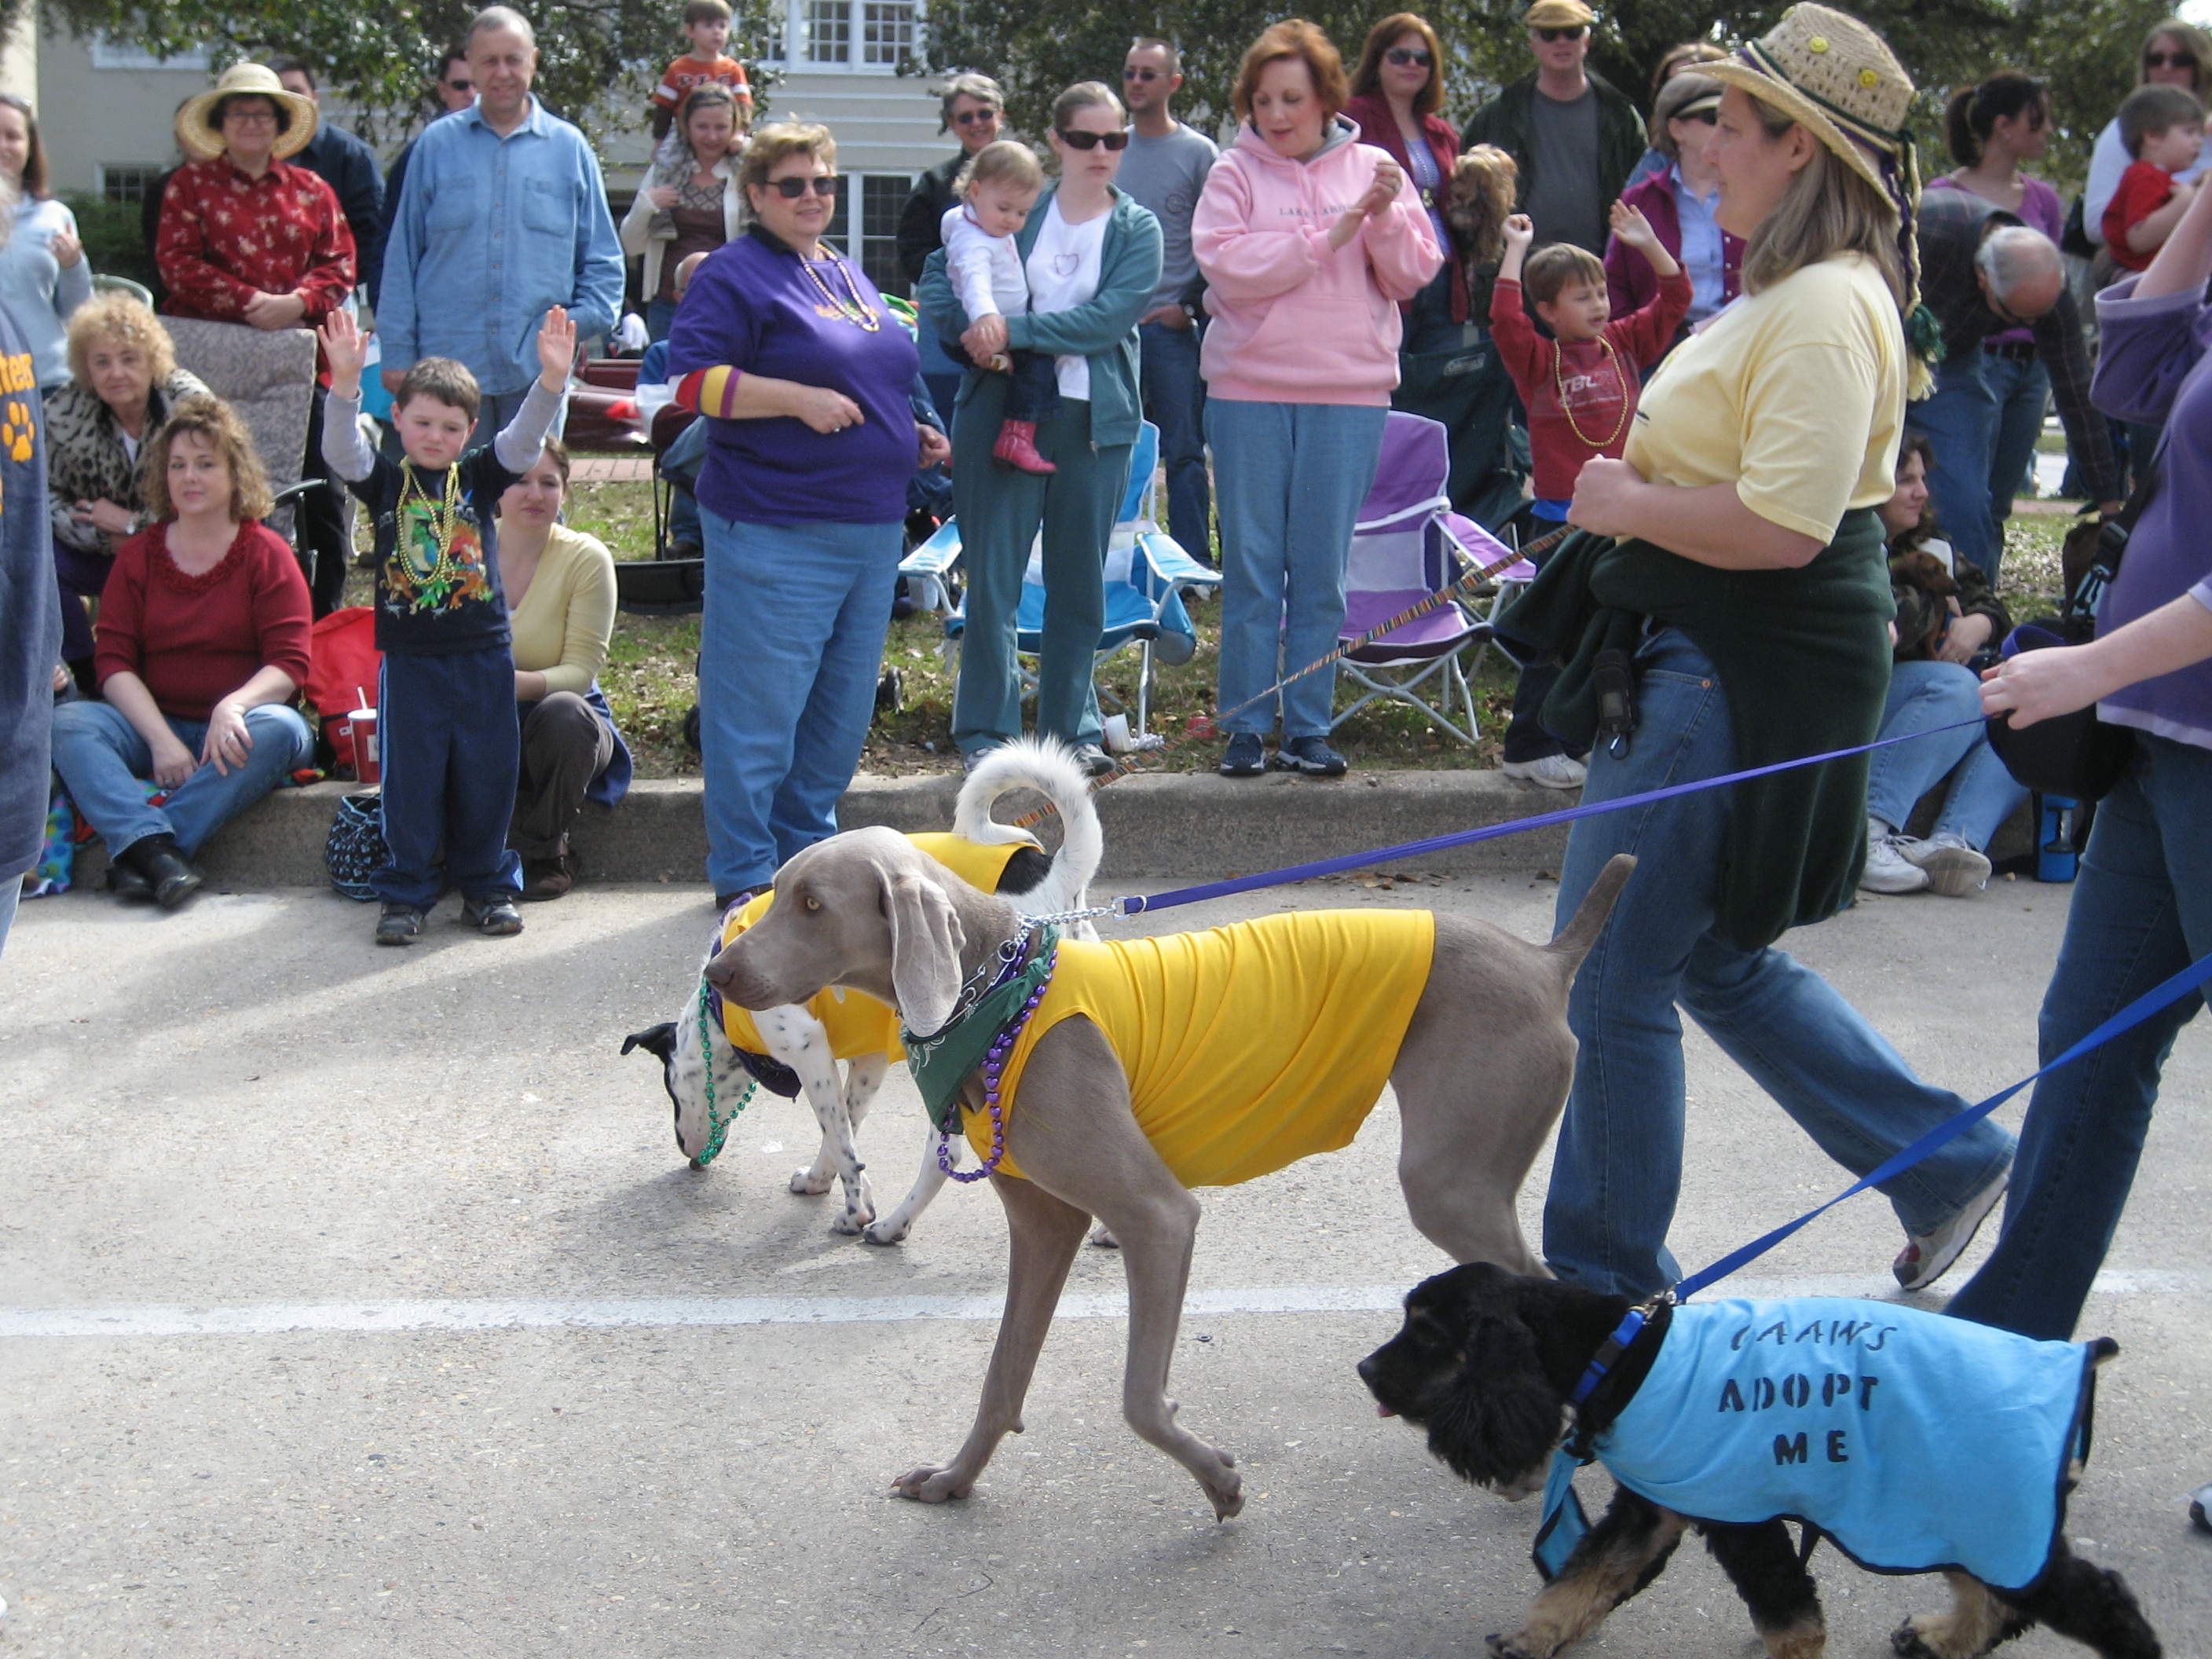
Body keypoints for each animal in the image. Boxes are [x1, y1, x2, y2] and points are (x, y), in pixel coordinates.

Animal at [623, 738, 1102, 1244]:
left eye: (670, 1089)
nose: (687, 1154)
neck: (719, 1011)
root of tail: (1055, 871)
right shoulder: (869, 1060)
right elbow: (843, 1129)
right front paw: (820, 1179)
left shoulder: (807, 1047)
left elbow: (839, 1137)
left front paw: (857, 1210)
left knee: (946, 1154)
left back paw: (893, 1224)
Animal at [704, 827, 1635, 1521]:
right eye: (779, 889)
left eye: (813, 904)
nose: (717, 971)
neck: (996, 992)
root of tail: (1545, 961)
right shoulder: (1046, 1224)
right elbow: (1003, 1375)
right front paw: (954, 1479)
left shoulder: (1157, 1218)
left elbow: (1139, 1399)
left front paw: (1217, 1479)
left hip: (1449, 1180)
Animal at [1359, 1262, 2160, 1659]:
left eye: (1427, 1333)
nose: (1365, 1371)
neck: (1617, 1351)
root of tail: (2080, 1359)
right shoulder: (1651, 1509)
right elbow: (1581, 1578)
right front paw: (1533, 1637)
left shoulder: (1739, 1517)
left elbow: (1791, 1626)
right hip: (1958, 1508)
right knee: (1995, 1592)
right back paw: (1942, 1638)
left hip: (1977, 1501)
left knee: (2101, 1597)